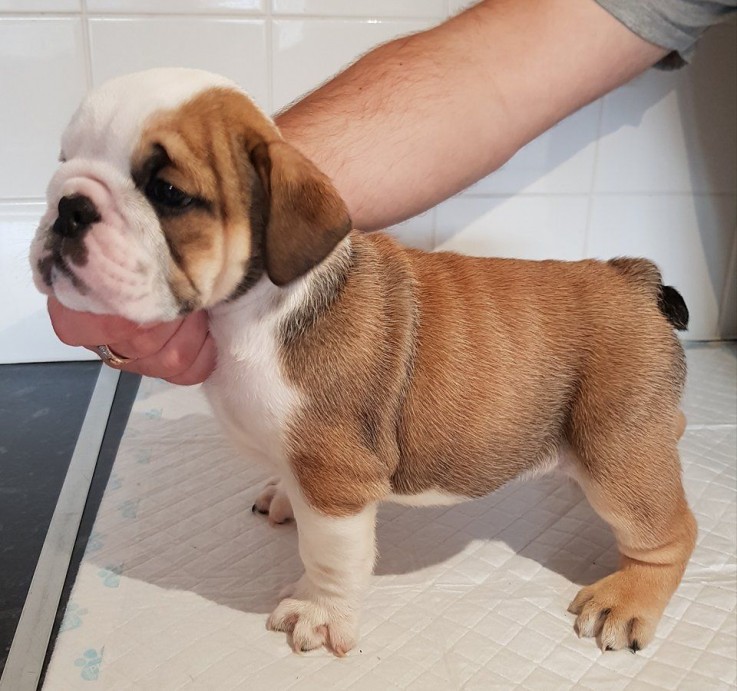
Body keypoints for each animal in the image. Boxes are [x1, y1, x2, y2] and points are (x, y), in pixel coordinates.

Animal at [28, 67, 696, 656]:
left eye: (168, 192)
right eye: (60, 162)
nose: (68, 206)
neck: (253, 309)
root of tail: (634, 278)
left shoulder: (334, 480)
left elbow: (329, 557)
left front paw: (319, 614)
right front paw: (280, 495)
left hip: (617, 453)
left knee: (670, 532)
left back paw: (626, 600)